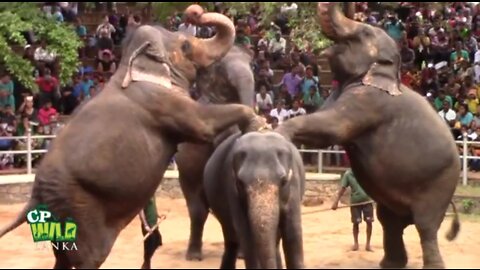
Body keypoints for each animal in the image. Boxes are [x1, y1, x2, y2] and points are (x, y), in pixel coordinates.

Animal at [202, 130, 304, 268]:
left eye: (284, 181)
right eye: (240, 183)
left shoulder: (294, 187)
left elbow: (293, 232)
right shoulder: (232, 191)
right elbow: (247, 237)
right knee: (231, 240)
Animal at [278, 2, 462, 270]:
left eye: (363, 34)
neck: (391, 74)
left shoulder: (369, 101)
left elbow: (332, 129)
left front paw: (277, 132)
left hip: (439, 184)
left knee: (425, 226)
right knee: (390, 221)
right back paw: (390, 264)